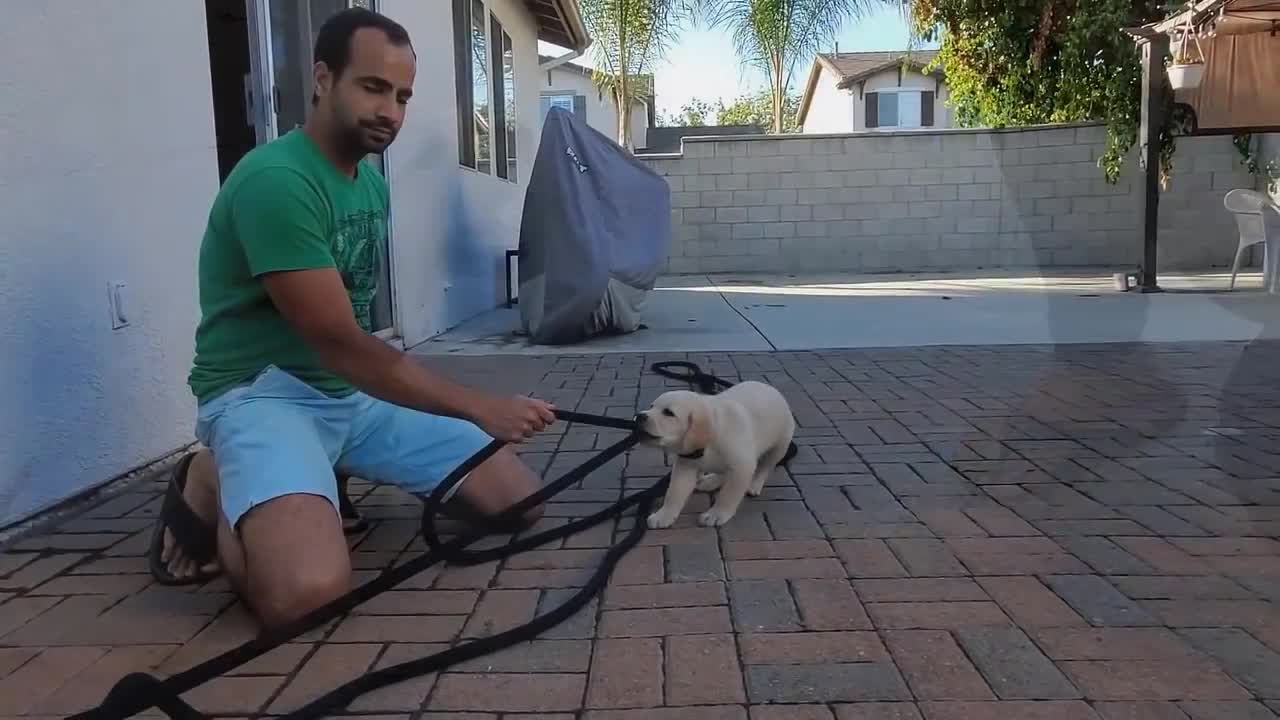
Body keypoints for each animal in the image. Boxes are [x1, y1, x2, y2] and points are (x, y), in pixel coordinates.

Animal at [634, 381, 793, 527]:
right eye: (651, 406)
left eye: (668, 413)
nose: (639, 416)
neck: (709, 442)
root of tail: (771, 388)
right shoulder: (685, 465)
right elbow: (674, 492)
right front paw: (664, 515)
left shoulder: (742, 466)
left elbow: (728, 495)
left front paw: (717, 514)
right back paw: (711, 480)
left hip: (780, 445)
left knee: (765, 467)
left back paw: (754, 484)